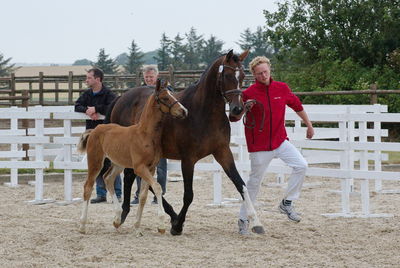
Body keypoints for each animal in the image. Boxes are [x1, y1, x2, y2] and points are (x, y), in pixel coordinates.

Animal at [77, 79, 188, 234]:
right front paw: (160, 225)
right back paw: (82, 225)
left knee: (108, 178)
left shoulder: (151, 168)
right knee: (88, 186)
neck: (145, 134)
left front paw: (137, 227)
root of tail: (94, 130)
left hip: (118, 163)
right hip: (95, 161)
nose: (184, 111)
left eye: (172, 94)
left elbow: (143, 196)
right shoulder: (139, 168)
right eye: (165, 98)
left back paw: (117, 219)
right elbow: (158, 187)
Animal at [109, 49, 266, 234]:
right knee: (131, 177)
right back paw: (126, 214)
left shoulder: (223, 152)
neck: (203, 112)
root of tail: (122, 97)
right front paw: (177, 226)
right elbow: (189, 194)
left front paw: (256, 223)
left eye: (241, 75)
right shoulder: (188, 159)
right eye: (227, 75)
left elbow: (241, 185)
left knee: (138, 180)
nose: (237, 109)